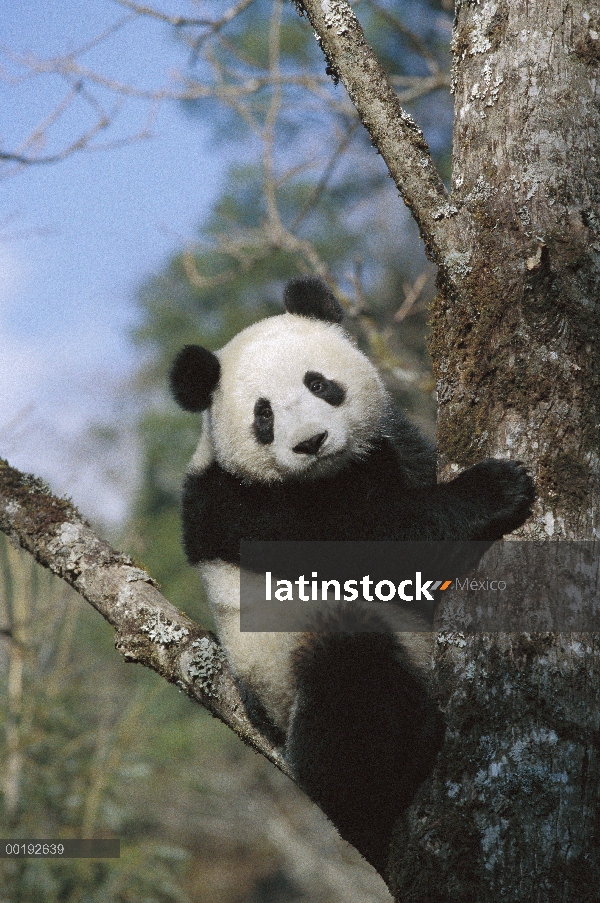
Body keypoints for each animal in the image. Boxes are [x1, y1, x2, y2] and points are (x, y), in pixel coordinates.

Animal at [169, 278, 536, 876]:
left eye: (319, 384)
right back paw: (395, 767)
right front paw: (496, 489)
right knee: (348, 686)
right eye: (263, 416)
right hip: (289, 659)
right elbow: (373, 544)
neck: (331, 474)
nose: (310, 442)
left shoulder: (388, 446)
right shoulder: (245, 508)